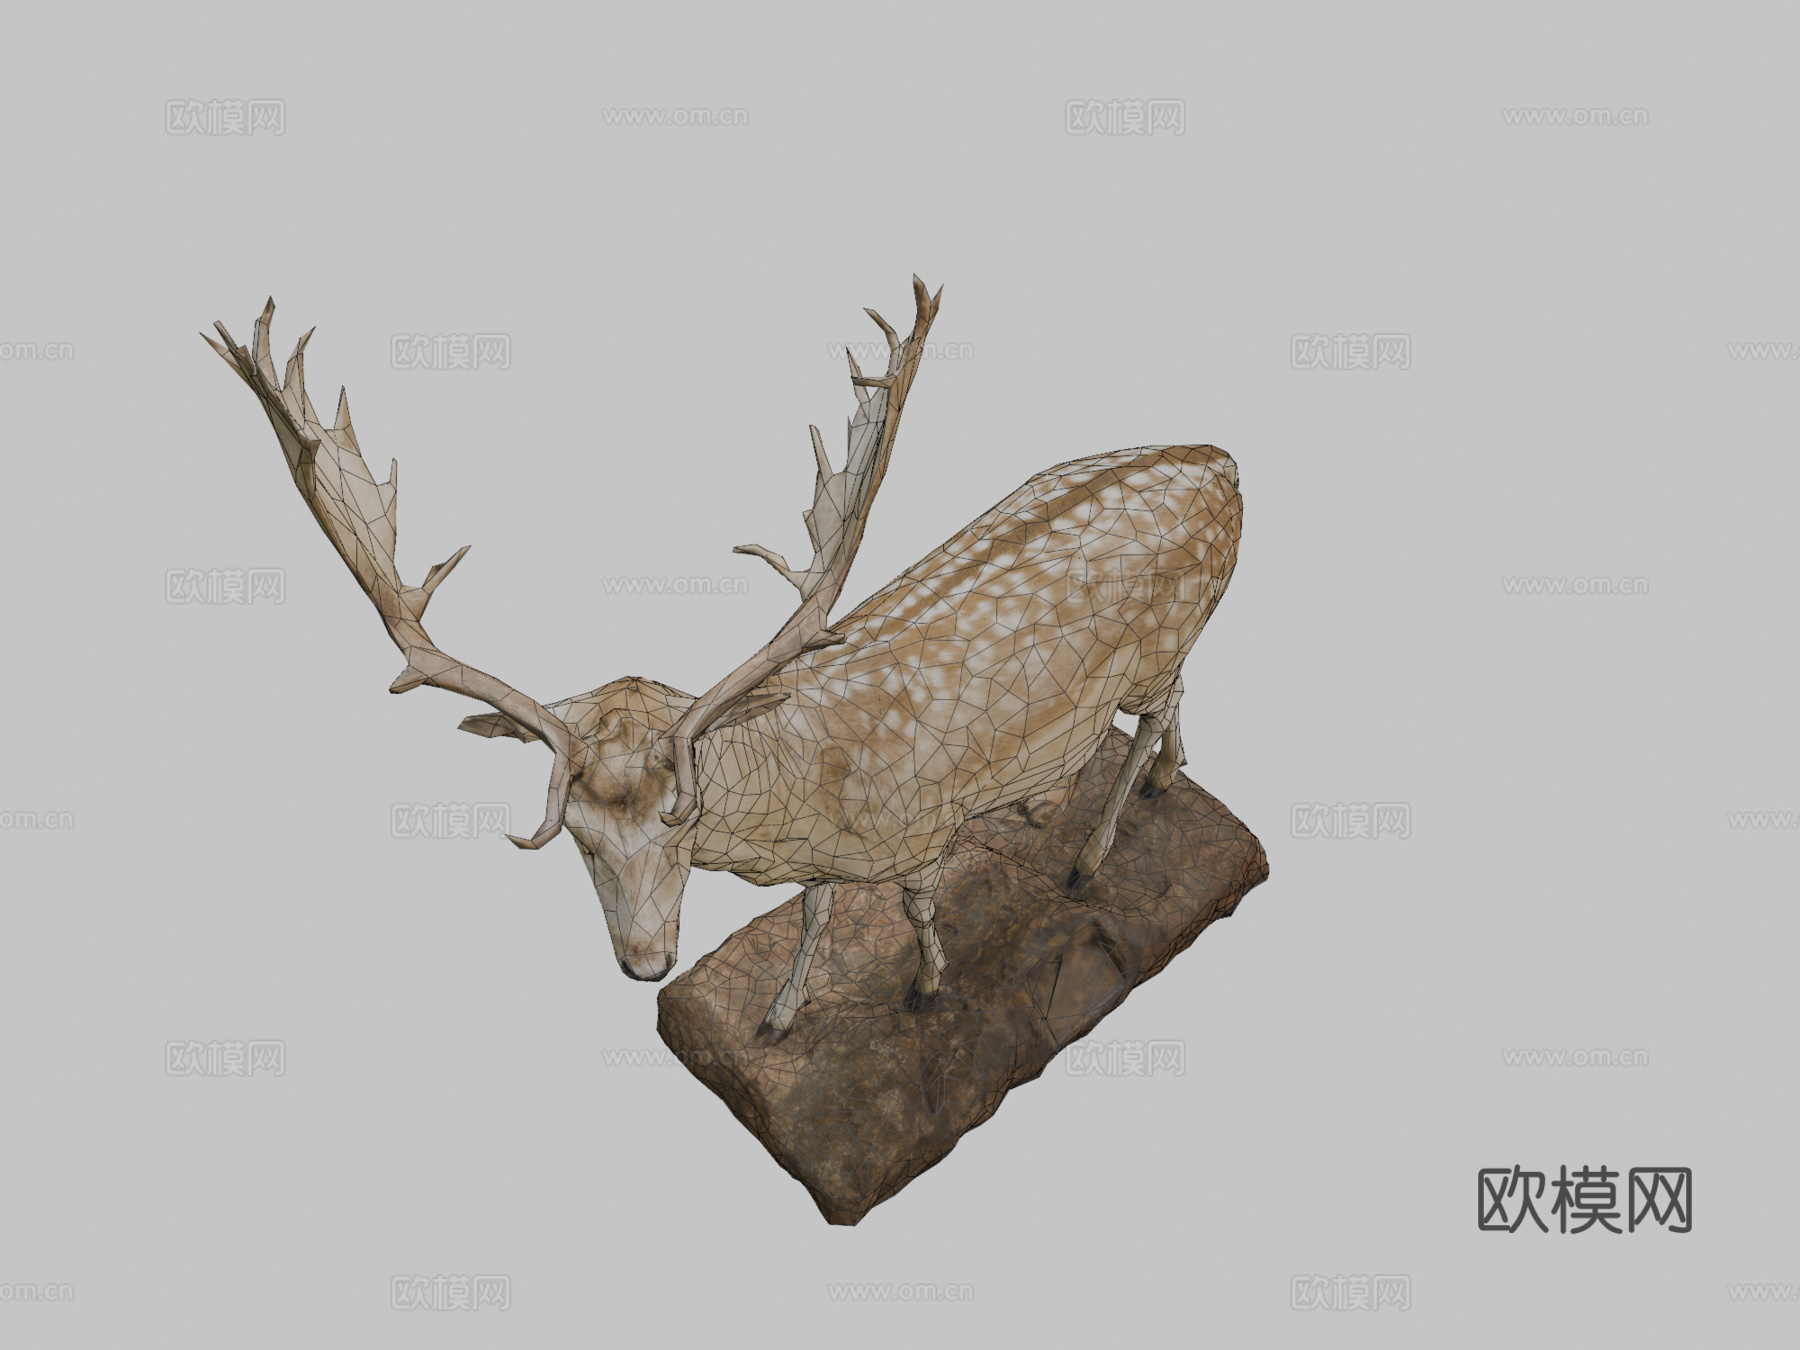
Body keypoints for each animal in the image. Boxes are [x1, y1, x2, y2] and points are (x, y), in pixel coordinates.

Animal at [204, 278, 1243, 1043]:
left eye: (682, 825)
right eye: (579, 838)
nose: (647, 967)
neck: (817, 791)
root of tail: (1225, 461)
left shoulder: (926, 829)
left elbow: (914, 911)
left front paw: (925, 989)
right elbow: (819, 913)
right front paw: (778, 1016)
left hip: (1167, 637)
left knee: (1156, 709)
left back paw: (1095, 852)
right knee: (1179, 703)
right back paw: (1145, 785)